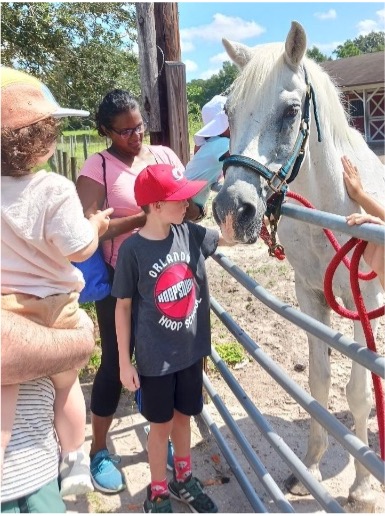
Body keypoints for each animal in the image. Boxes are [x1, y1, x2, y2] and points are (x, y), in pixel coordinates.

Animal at [213, 21, 384, 512]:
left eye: (291, 111)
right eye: (228, 112)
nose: (232, 210)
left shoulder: (363, 303)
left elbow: (359, 392)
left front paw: (362, 489)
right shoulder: (311, 295)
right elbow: (320, 382)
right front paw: (308, 468)